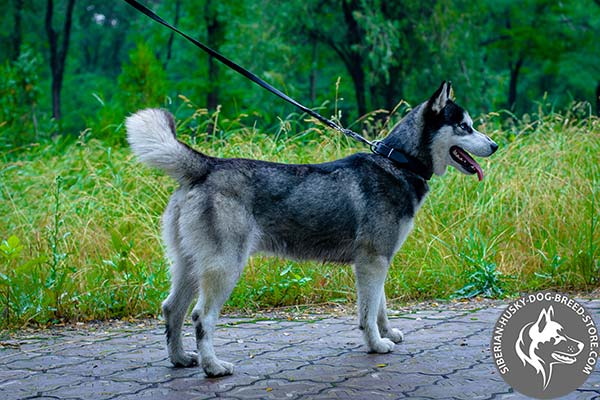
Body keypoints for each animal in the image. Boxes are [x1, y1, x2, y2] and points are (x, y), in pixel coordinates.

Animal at [125, 82, 496, 378]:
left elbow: (380, 305)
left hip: (189, 266)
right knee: (201, 317)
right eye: (464, 126)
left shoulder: (378, 260)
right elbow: (367, 312)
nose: (494, 146)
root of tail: (208, 165)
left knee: (172, 309)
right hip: (224, 268)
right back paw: (213, 367)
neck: (397, 161)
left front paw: (387, 333)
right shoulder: (372, 260)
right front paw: (376, 344)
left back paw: (180, 358)